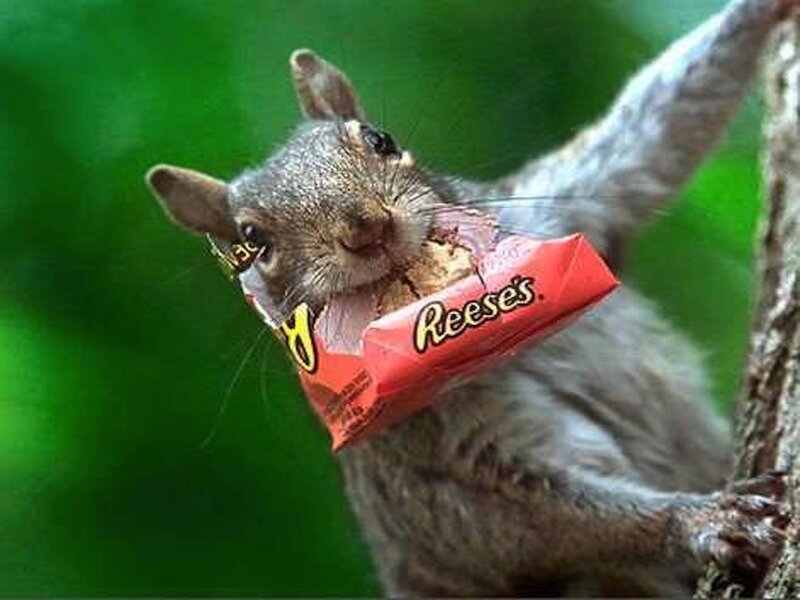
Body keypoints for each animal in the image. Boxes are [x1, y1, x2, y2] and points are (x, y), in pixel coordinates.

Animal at [145, 0, 797, 596]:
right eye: (253, 240)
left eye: (381, 140)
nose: (366, 226)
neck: (490, 338)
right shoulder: (433, 461)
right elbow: (533, 525)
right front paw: (706, 520)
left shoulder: (557, 204)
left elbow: (656, 127)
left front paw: (763, 13)